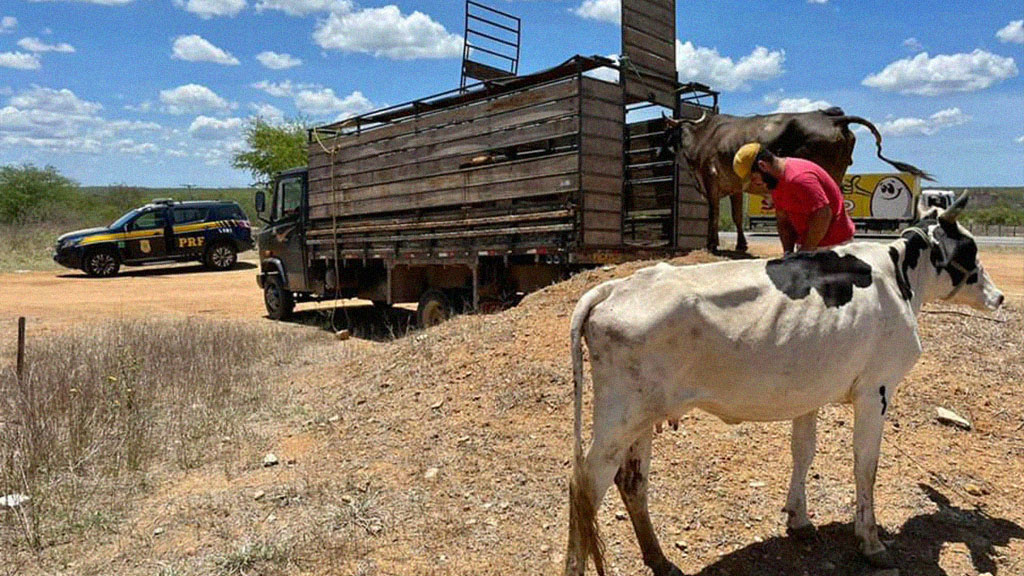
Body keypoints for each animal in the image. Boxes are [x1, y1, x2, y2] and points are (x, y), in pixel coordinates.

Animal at [569, 193, 1007, 573]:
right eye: (970, 251)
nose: (1000, 296)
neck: (897, 275)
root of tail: (619, 285)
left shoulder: (808, 394)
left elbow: (804, 452)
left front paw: (800, 520)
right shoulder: (875, 391)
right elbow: (865, 467)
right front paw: (870, 542)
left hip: (642, 417)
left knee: (632, 482)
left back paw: (659, 559)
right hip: (619, 417)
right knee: (585, 488)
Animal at [663, 107, 937, 251]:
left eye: (668, 132)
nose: (661, 149)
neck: (702, 138)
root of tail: (831, 116)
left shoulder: (710, 179)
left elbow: (714, 213)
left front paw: (712, 244)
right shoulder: (734, 187)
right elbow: (737, 217)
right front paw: (741, 245)